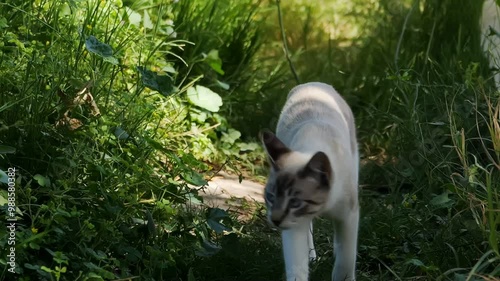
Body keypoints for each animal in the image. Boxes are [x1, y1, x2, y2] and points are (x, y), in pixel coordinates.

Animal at [260, 81, 358, 280]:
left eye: (295, 202)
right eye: (271, 197)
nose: (275, 220)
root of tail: (313, 83)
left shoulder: (348, 217)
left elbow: (345, 263)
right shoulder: (293, 225)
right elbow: (296, 267)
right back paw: (312, 256)